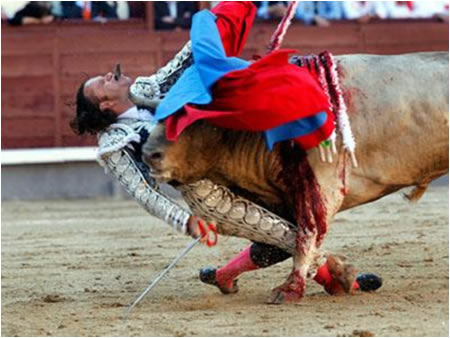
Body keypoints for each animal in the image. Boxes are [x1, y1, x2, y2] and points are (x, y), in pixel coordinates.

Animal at [143, 52, 446, 304]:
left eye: (194, 118)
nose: (148, 153)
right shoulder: (281, 199)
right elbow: (270, 245)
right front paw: (341, 278)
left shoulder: (321, 187)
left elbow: (305, 237)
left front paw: (289, 290)